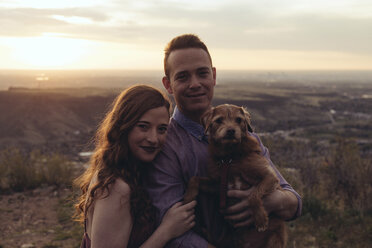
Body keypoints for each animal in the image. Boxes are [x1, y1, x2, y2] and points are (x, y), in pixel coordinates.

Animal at [185, 103, 286, 247]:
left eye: (239, 120)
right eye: (219, 120)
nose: (231, 131)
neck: (230, 158)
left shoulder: (270, 177)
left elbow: (253, 196)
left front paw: (260, 219)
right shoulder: (219, 185)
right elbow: (194, 179)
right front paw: (188, 197)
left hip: (274, 240)